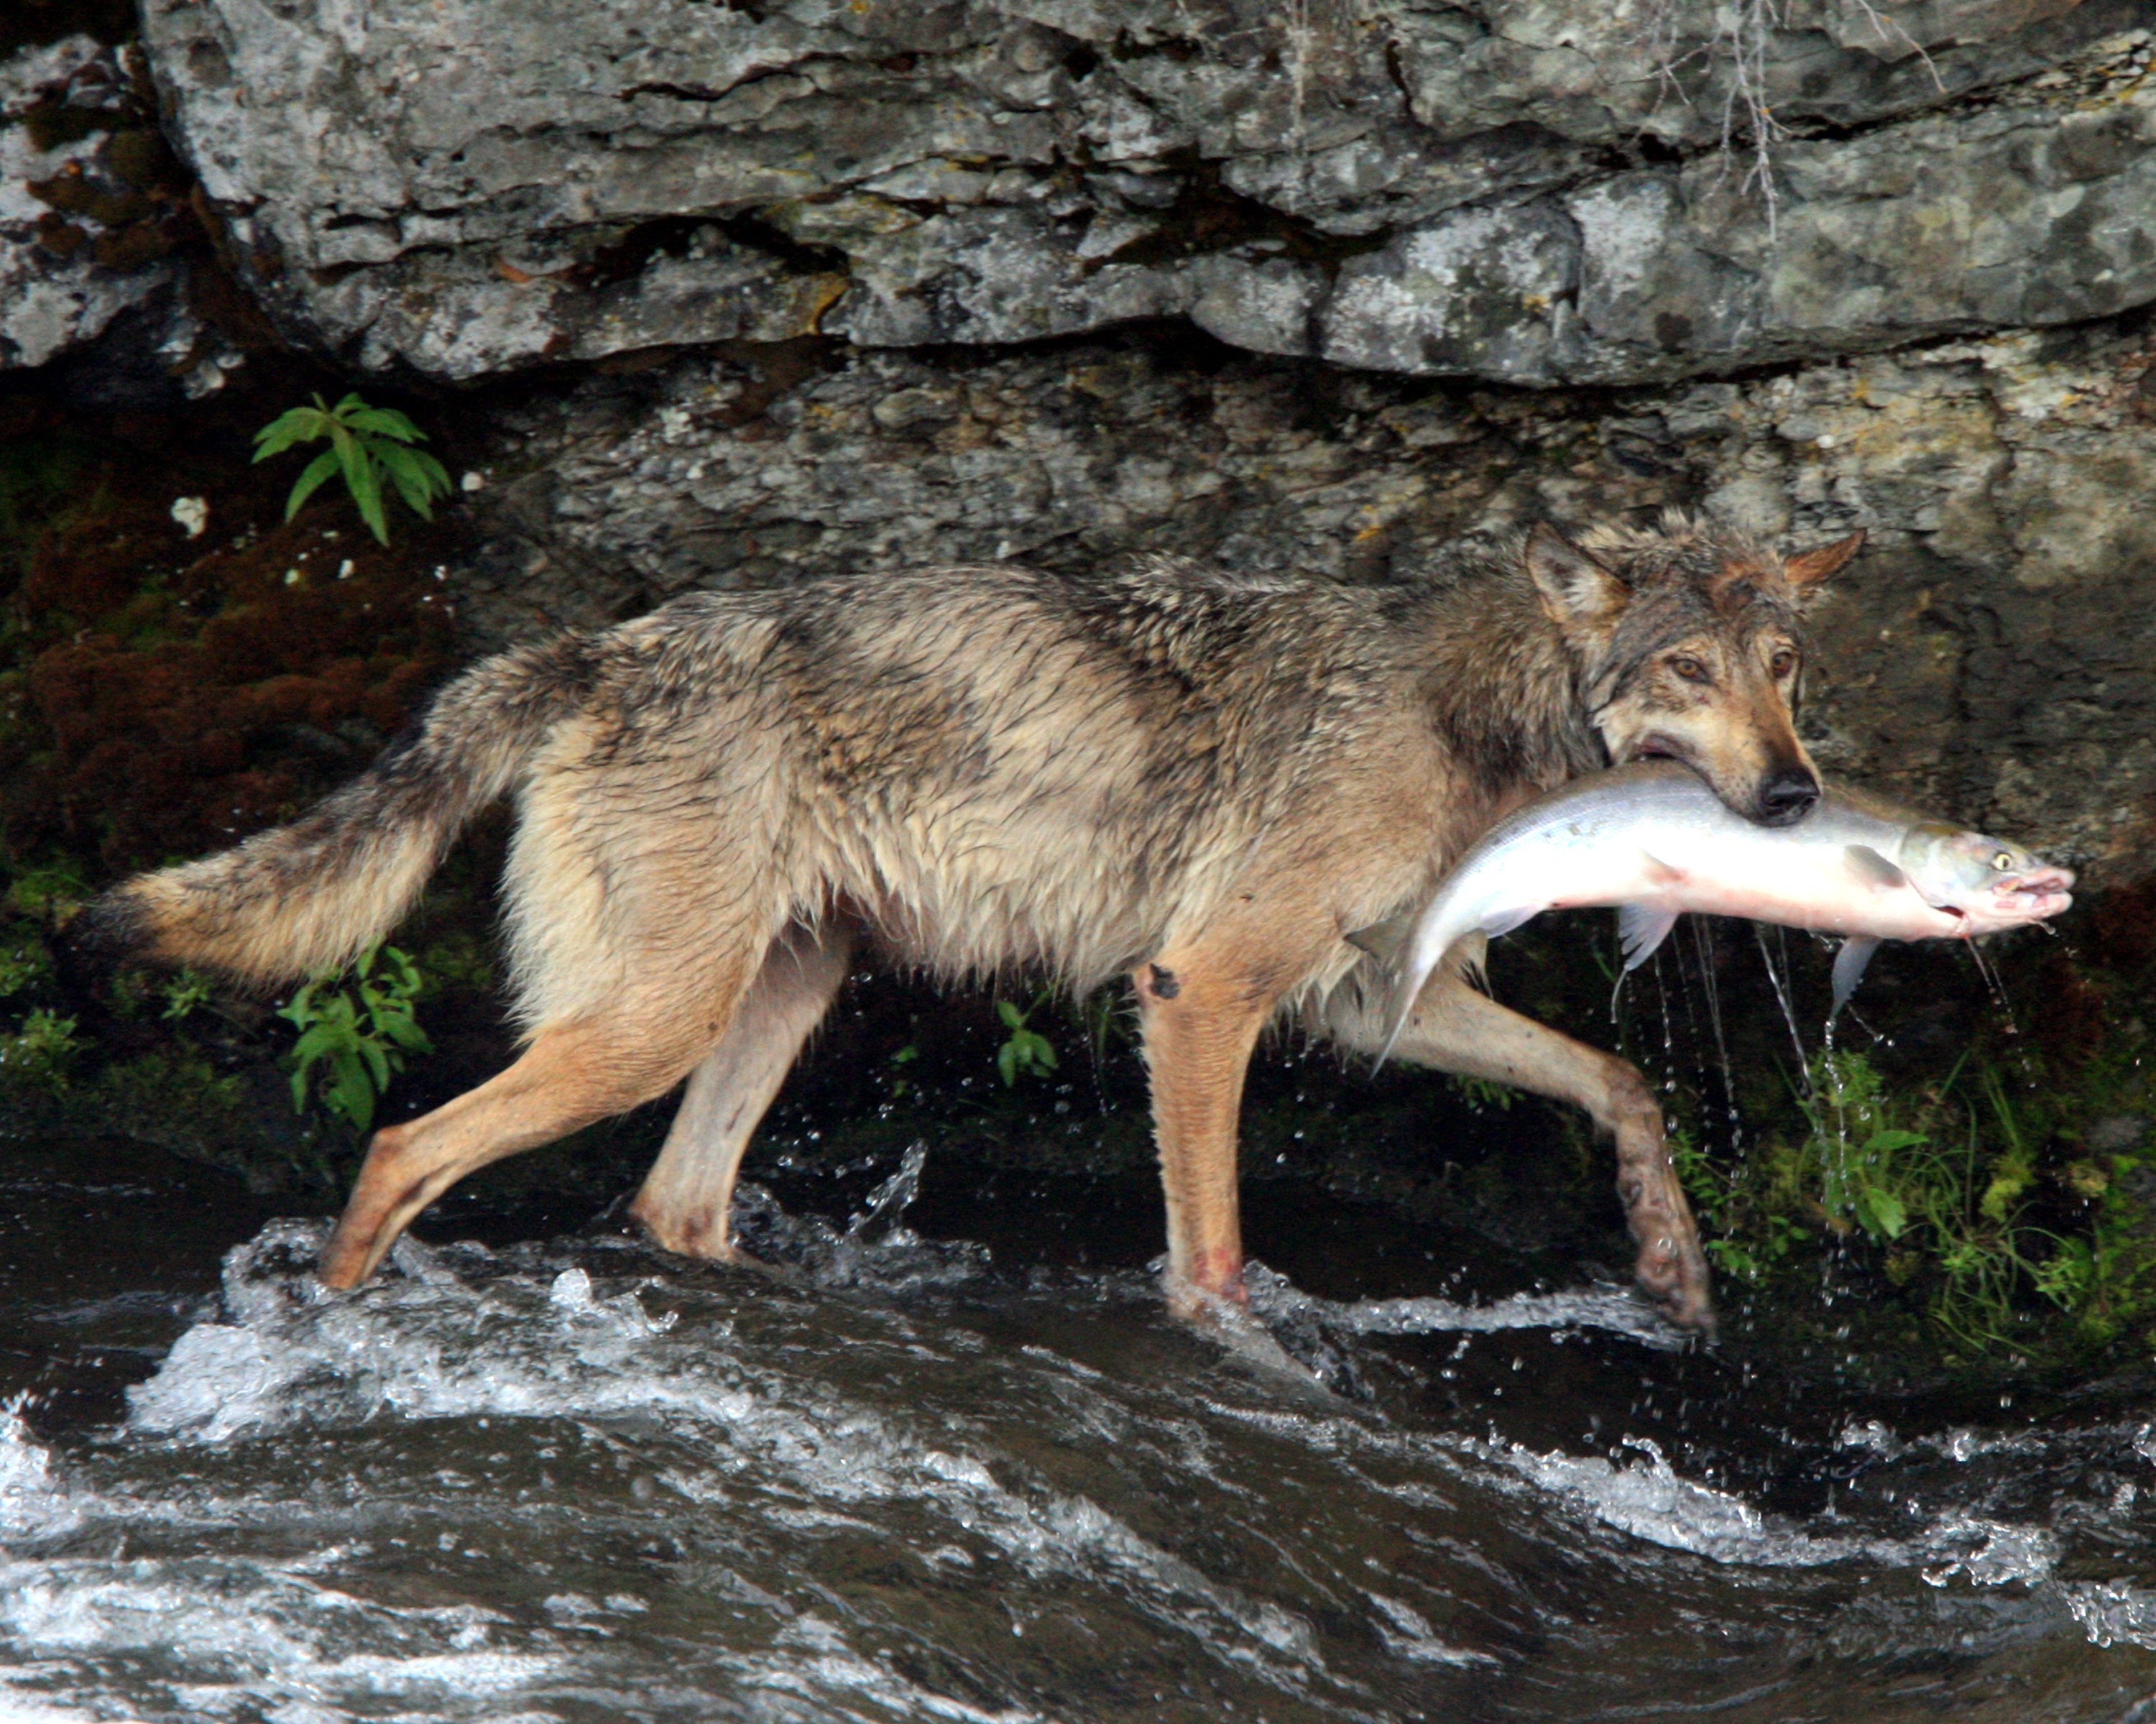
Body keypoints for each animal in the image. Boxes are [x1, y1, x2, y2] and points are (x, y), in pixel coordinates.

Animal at [84, 515, 1863, 1336]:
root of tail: (599, 643)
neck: (1468, 713)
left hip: (771, 1002)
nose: (1794, 794)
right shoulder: (1201, 988)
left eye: (1783, 665)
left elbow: (1622, 1084)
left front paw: (1670, 1257)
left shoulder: (1372, 1003)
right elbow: (1216, 1254)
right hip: (645, 1025)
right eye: (1686, 670)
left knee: (671, 1200)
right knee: (400, 1140)